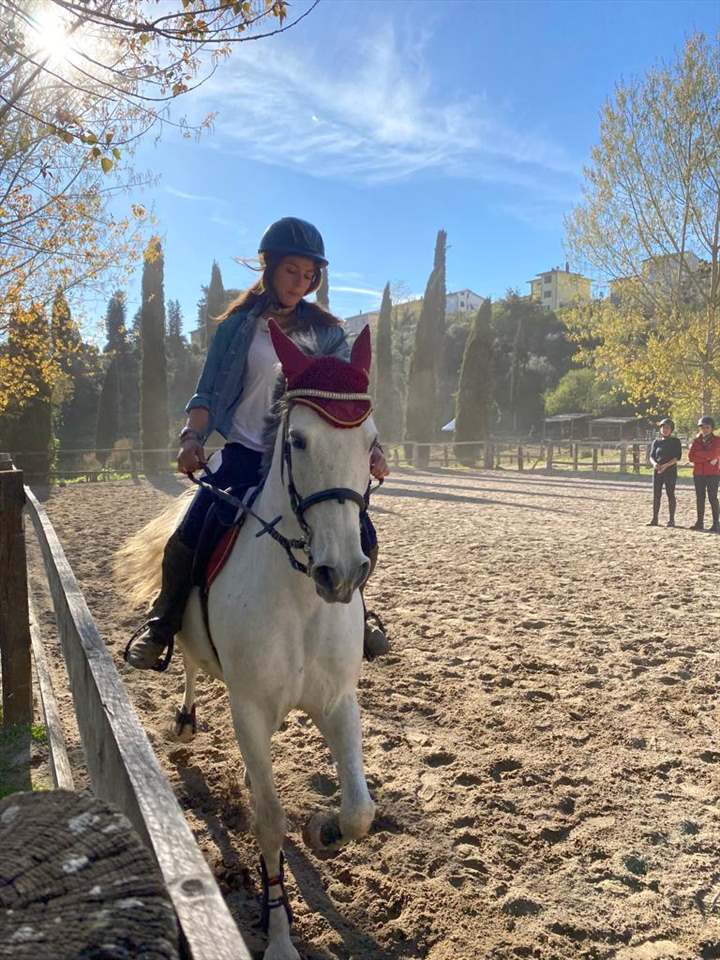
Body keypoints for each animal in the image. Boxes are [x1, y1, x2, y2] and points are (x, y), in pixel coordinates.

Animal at [117, 323, 377, 960]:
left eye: (371, 443)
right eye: (300, 441)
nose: (342, 574)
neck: (301, 598)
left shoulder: (338, 702)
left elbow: (359, 810)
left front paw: (324, 828)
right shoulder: (251, 706)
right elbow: (268, 820)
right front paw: (279, 935)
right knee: (188, 662)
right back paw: (184, 719)